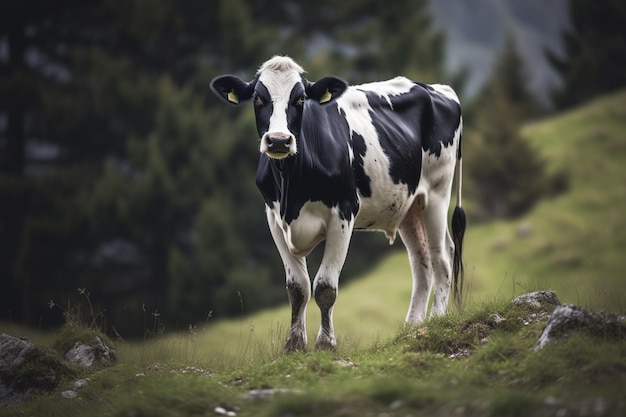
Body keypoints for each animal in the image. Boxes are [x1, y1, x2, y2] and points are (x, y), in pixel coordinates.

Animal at [210, 55, 464, 352]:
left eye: (300, 99)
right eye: (258, 98)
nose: (279, 141)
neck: (291, 189)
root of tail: (439, 88)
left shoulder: (343, 214)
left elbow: (325, 287)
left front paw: (326, 344)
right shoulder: (274, 219)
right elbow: (297, 288)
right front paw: (294, 345)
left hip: (437, 192)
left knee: (442, 256)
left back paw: (437, 319)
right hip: (408, 205)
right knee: (421, 262)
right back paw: (412, 327)